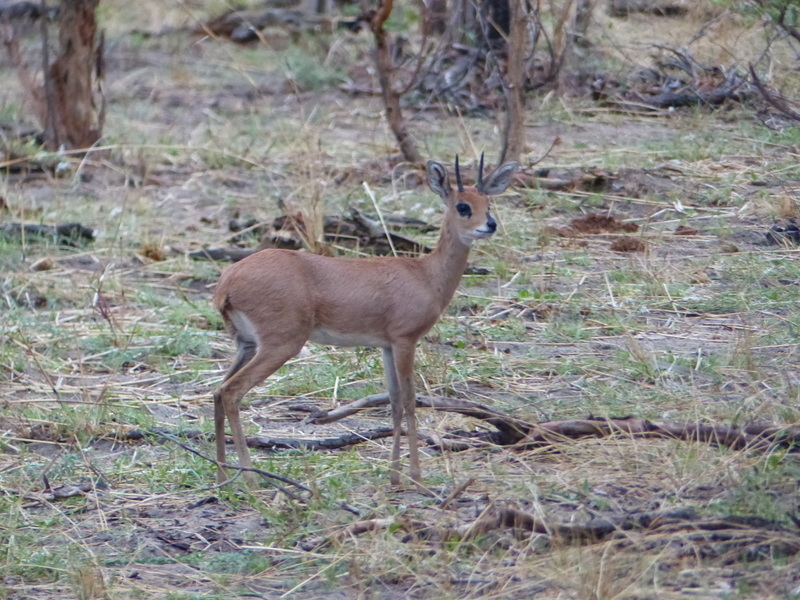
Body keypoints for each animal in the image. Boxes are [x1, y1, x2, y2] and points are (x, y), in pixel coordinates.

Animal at [211, 156, 520, 488]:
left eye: (488, 203)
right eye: (463, 206)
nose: (490, 225)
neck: (426, 275)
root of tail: (228, 282)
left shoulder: (386, 346)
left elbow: (394, 402)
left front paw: (395, 475)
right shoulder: (405, 340)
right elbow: (410, 400)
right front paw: (415, 475)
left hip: (246, 344)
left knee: (217, 391)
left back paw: (221, 475)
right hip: (280, 345)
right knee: (232, 392)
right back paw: (250, 480)